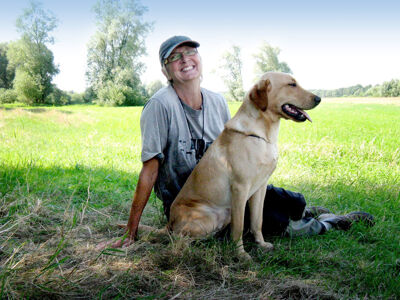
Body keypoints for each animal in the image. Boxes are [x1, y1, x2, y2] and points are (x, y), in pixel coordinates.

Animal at [167, 72, 320, 258]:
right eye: (291, 84)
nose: (319, 98)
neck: (263, 135)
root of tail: (169, 222)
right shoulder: (240, 188)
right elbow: (239, 226)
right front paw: (240, 254)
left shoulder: (260, 187)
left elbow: (257, 221)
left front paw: (261, 244)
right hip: (208, 217)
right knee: (179, 237)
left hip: (224, 215)